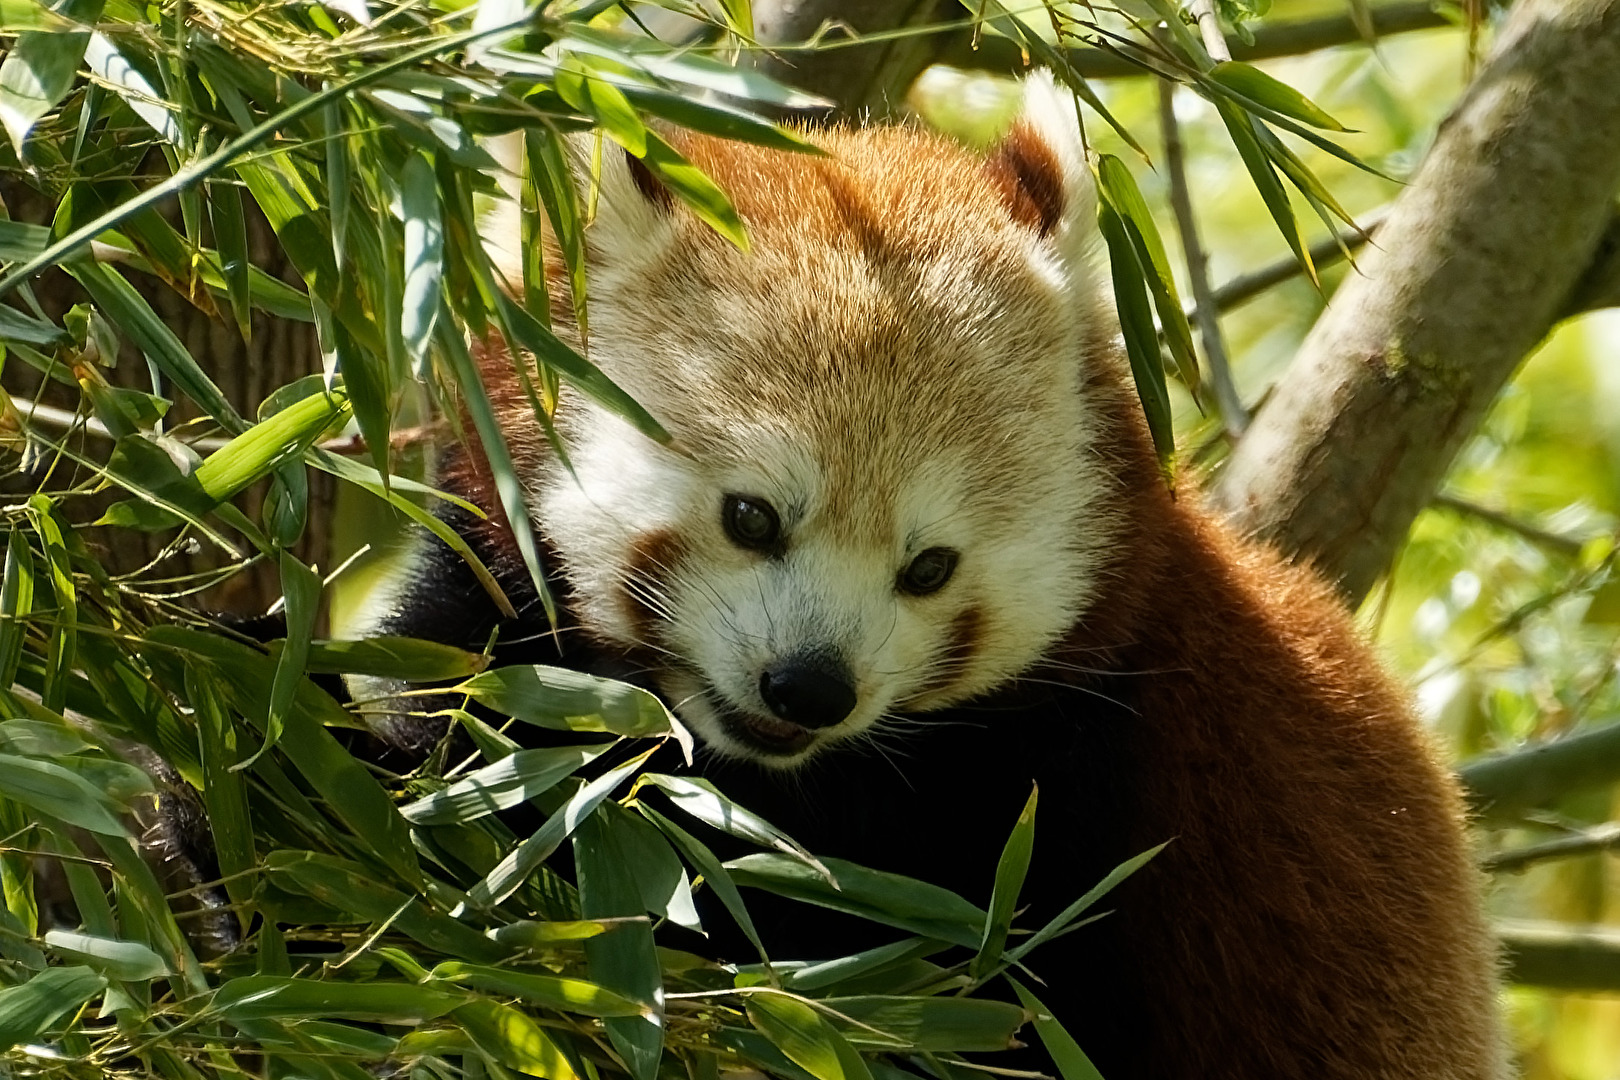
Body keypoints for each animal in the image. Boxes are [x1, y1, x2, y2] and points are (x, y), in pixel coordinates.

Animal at [348, 77, 1505, 1079]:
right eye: (752, 515)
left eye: (930, 565)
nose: (809, 686)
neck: (774, 777)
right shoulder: (500, 612)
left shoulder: (1045, 813)